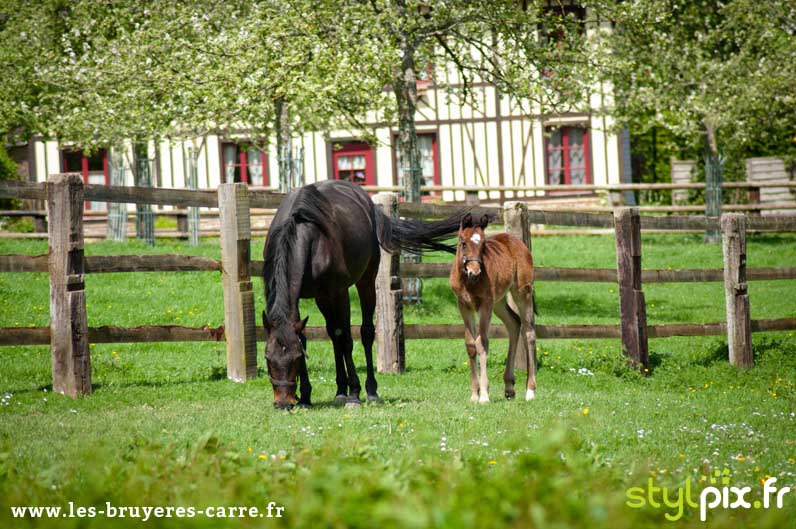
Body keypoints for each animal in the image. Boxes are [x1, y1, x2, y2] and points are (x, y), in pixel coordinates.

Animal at [264, 180, 470, 408]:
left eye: (296, 358)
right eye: (268, 358)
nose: (283, 402)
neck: (305, 232)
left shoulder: (339, 292)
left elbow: (345, 338)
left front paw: (354, 393)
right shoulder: (299, 297)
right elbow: (305, 337)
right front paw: (305, 397)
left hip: (365, 282)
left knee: (364, 333)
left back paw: (370, 391)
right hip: (322, 298)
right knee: (333, 334)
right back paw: (340, 390)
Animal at [450, 212, 536, 402]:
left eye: (483, 245)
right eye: (463, 243)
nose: (474, 272)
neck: (468, 282)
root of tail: (517, 241)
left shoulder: (485, 305)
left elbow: (482, 342)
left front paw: (484, 395)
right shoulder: (463, 305)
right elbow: (470, 345)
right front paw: (474, 394)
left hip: (521, 292)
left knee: (529, 331)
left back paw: (530, 390)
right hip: (499, 302)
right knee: (514, 323)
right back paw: (509, 387)